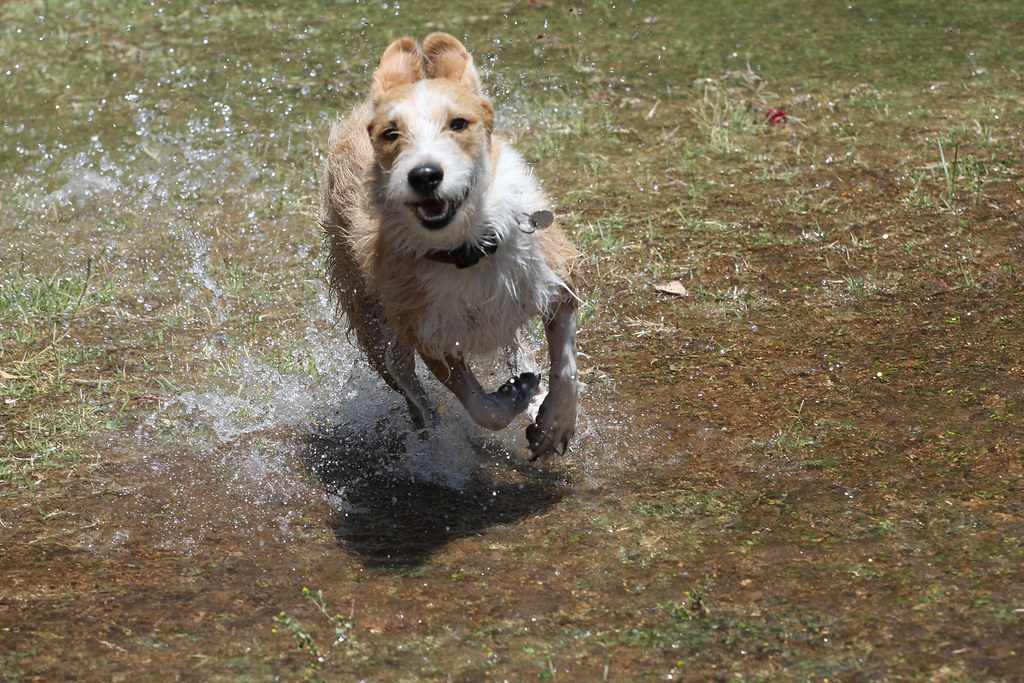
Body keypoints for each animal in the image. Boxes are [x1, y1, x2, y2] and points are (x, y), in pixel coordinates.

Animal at [319, 31, 581, 458]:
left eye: (458, 124)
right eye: (391, 133)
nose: (425, 174)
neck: (467, 248)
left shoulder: (556, 279)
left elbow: (565, 365)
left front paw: (554, 422)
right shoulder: (430, 333)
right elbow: (480, 406)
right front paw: (512, 398)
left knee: (516, 344)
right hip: (373, 325)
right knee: (404, 379)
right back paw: (429, 428)